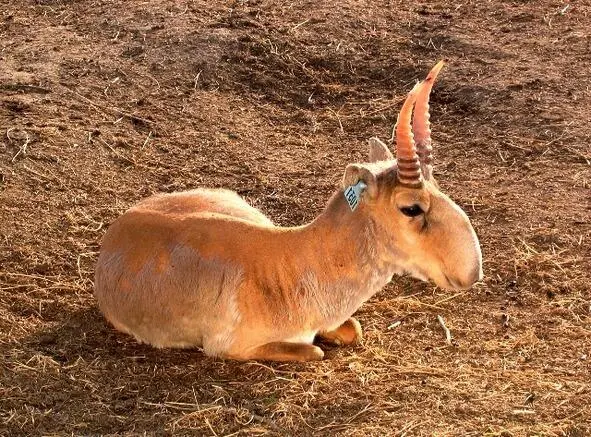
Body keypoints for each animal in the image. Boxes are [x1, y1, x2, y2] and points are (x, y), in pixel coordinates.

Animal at [95, 61, 484, 362]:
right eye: (411, 207)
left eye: (438, 187)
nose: (472, 272)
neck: (294, 262)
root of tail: (117, 229)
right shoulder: (232, 347)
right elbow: (314, 350)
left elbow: (353, 329)